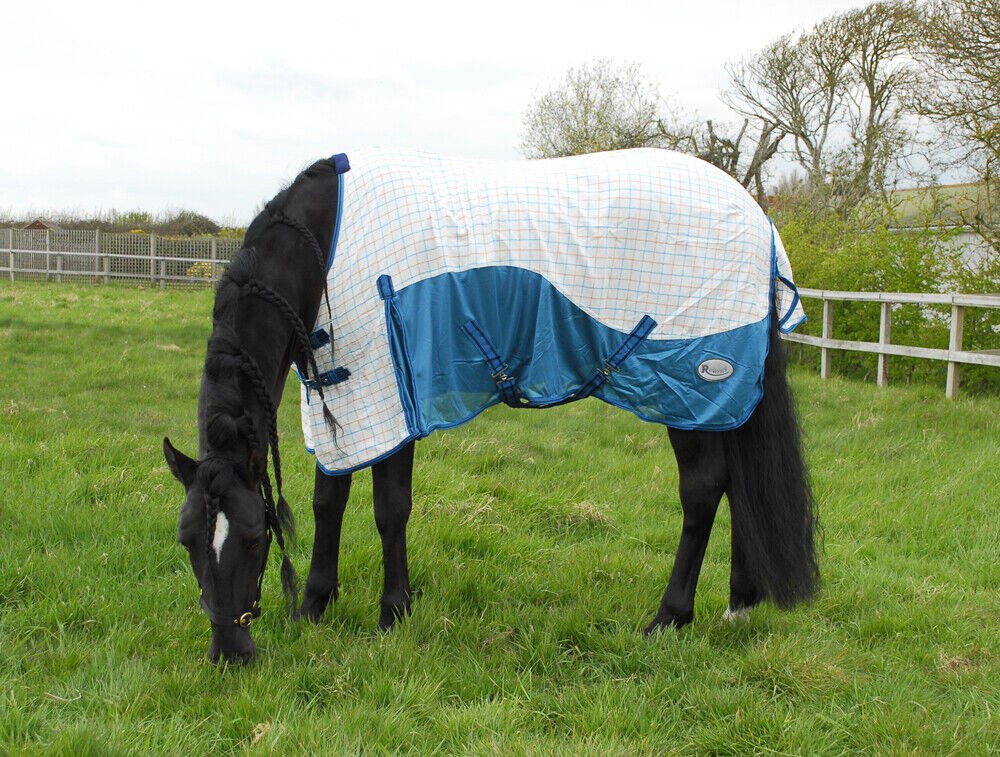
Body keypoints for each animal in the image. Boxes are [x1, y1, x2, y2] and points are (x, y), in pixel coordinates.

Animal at [163, 148, 818, 664]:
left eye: (253, 540)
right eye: (189, 540)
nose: (229, 655)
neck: (322, 247)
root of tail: (757, 218)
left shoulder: (393, 393)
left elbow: (389, 508)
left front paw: (392, 613)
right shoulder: (345, 398)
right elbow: (330, 500)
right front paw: (314, 607)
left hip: (689, 386)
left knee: (704, 491)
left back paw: (669, 618)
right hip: (719, 401)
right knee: (738, 484)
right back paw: (738, 605)